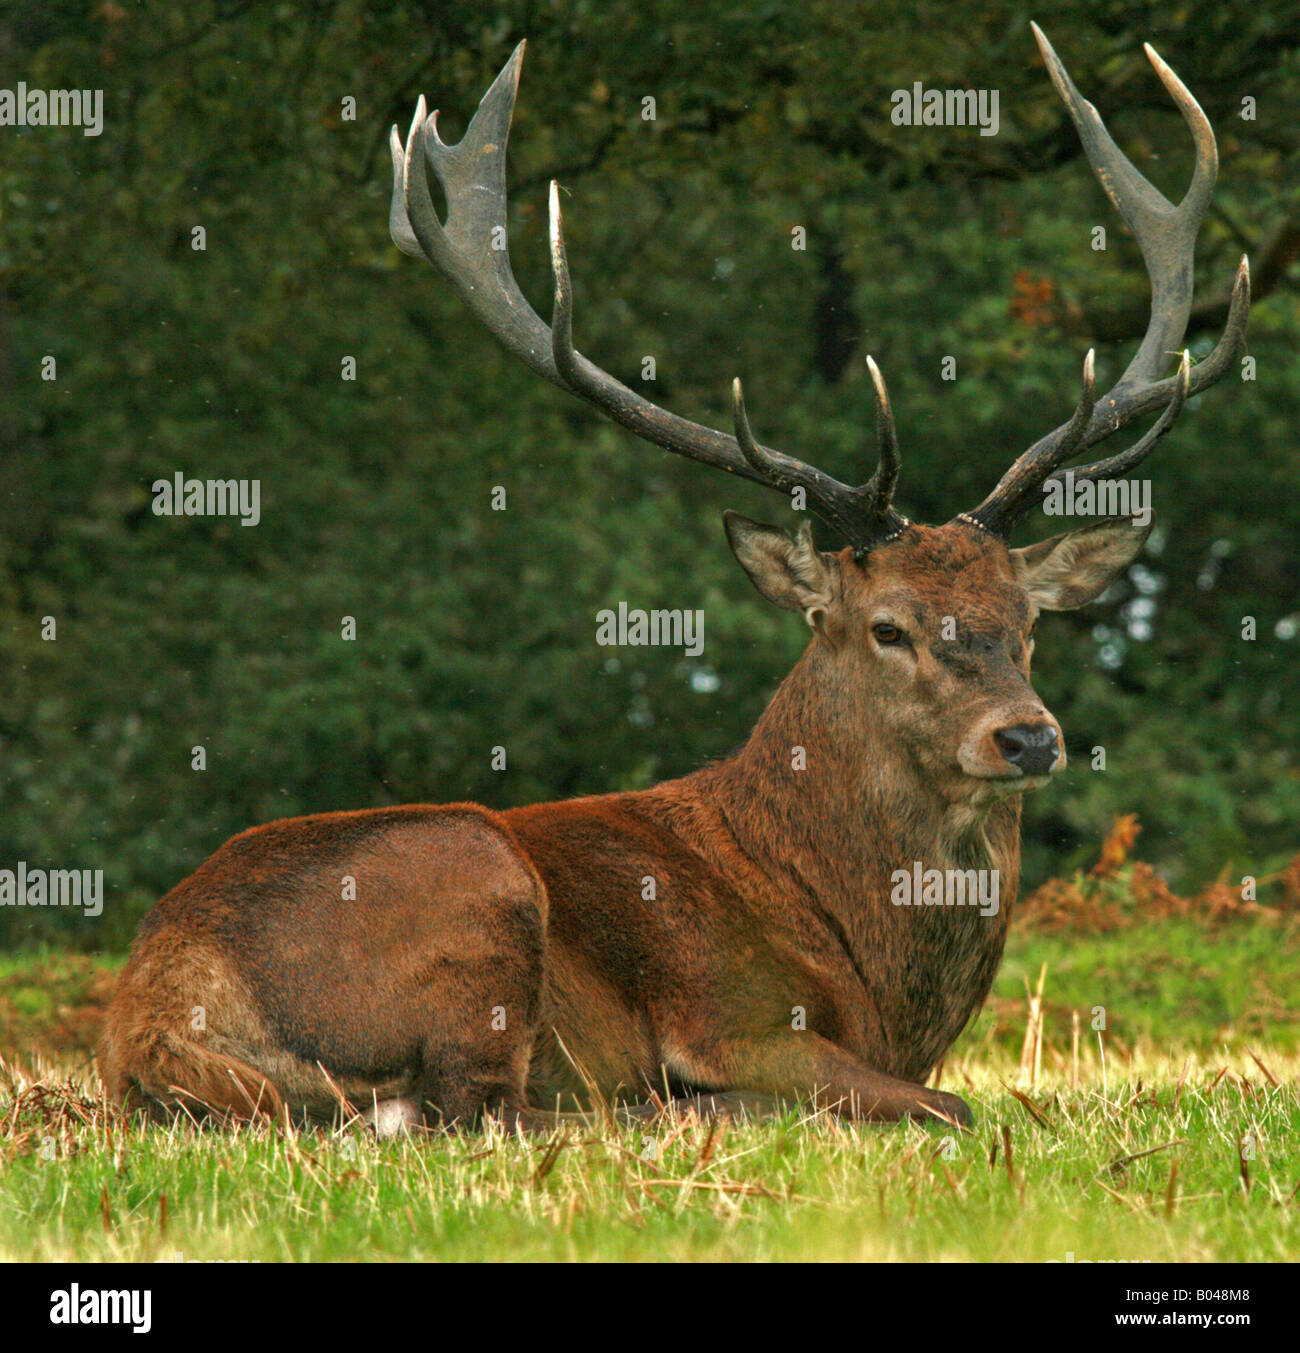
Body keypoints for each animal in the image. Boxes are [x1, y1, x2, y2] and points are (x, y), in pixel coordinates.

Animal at [100, 26, 1248, 1134]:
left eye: (1026, 621)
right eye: (888, 626)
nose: (1028, 737)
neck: (869, 972)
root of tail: (152, 1014)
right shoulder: (733, 1013)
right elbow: (952, 1103)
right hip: (473, 880)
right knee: (479, 1114)